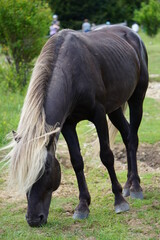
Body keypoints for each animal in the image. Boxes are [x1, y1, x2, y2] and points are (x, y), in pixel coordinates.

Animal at [3, 25, 148, 227]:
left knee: (133, 138)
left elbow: (107, 156)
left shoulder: (98, 115)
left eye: (46, 170)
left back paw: (135, 187)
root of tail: (132, 34)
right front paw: (82, 206)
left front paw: (119, 201)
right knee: (127, 136)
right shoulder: (68, 125)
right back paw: (128, 185)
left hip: (137, 98)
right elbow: (76, 161)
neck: (71, 72)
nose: (33, 219)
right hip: (115, 108)